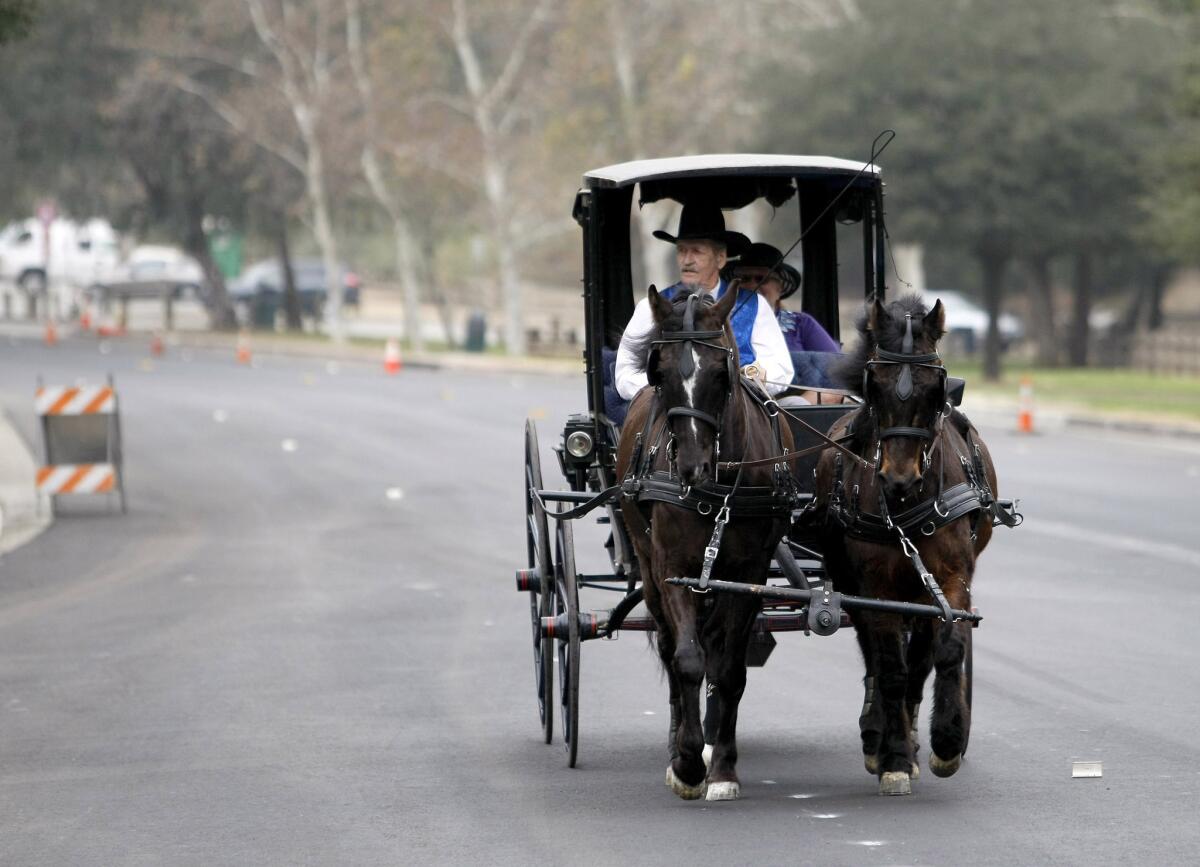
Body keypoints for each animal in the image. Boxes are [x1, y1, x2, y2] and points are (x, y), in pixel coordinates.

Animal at [614, 286, 792, 802]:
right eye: (659, 371)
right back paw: (682, 741)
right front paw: (688, 763)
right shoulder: (672, 567)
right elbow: (687, 661)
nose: (692, 467)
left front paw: (724, 767)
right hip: (649, 567)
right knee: (672, 648)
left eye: (721, 371)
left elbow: (729, 669)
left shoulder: (748, 575)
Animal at [816, 294, 1012, 792]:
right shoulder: (878, 589)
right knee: (875, 653)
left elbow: (945, 650)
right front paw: (895, 757)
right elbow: (889, 666)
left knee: (921, 655)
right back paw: (879, 734)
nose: (899, 478)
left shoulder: (950, 578)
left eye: (935, 386)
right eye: (877, 384)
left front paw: (946, 740)